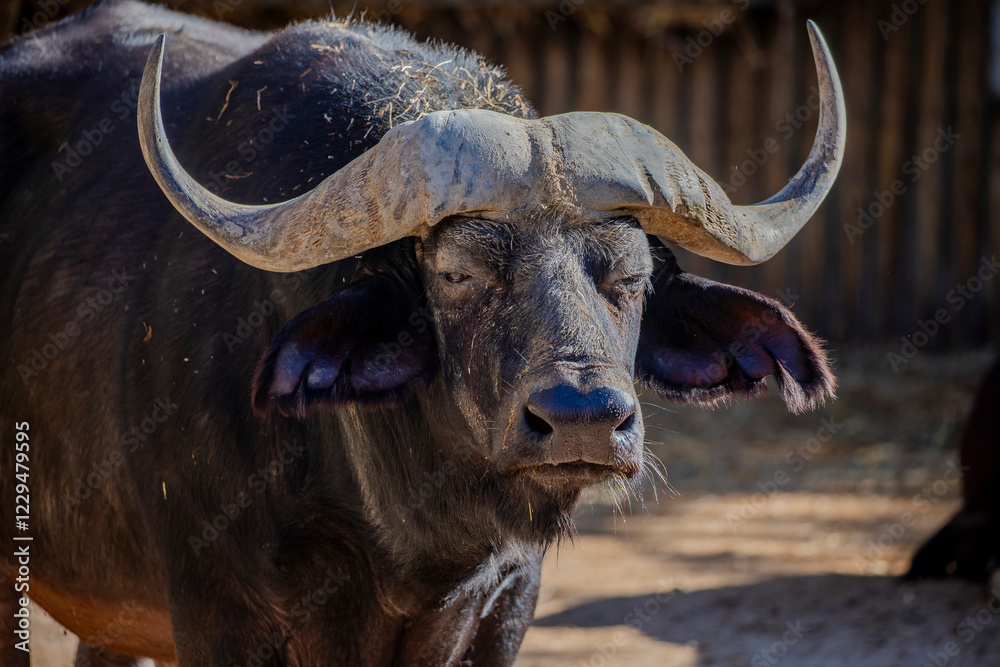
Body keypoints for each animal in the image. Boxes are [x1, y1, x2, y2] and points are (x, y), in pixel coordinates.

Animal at [0, 1, 843, 665]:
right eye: (459, 275)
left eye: (631, 276)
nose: (584, 420)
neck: (413, 539)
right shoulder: (219, 615)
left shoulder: (505, 606)